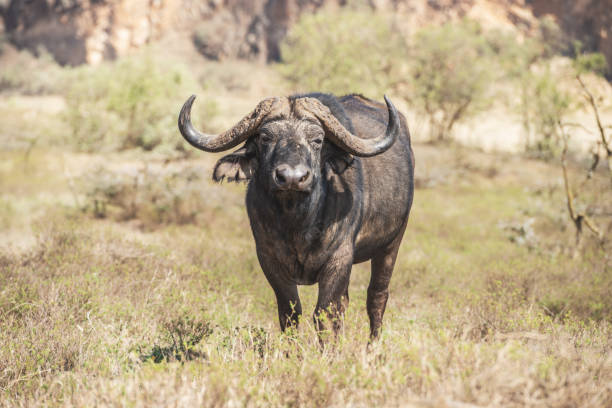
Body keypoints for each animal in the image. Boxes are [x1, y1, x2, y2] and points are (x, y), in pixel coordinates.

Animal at [178, 92, 416, 338]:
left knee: (377, 297)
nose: (292, 177)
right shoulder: (269, 259)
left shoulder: (340, 259)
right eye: (265, 137)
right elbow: (290, 313)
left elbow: (325, 314)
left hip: (391, 244)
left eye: (318, 140)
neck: (297, 223)